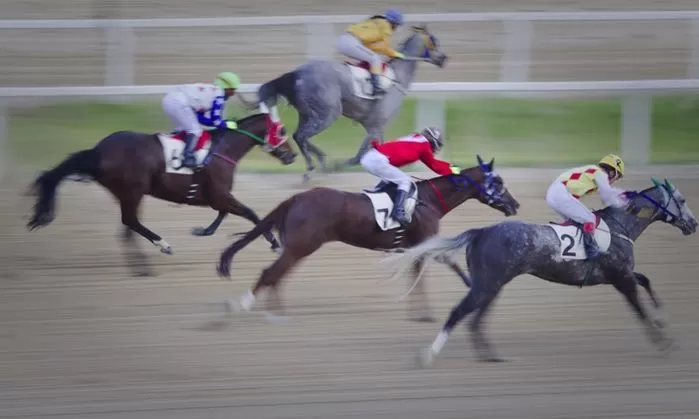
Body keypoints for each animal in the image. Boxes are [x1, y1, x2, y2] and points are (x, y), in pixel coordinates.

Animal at [26, 113, 296, 278]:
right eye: (282, 129)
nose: (292, 156)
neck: (224, 148)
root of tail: (98, 151)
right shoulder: (219, 195)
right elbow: (251, 213)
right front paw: (274, 242)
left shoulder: (217, 197)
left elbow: (226, 213)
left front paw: (203, 231)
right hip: (133, 191)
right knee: (130, 222)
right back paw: (162, 246)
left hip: (128, 193)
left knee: (127, 229)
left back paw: (142, 268)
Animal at [217, 157, 520, 322]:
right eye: (499, 183)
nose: (515, 205)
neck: (429, 200)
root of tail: (296, 198)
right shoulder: (425, 241)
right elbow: (435, 267)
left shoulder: (416, 246)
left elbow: (422, 271)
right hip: (301, 246)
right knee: (271, 274)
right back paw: (243, 307)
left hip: (298, 248)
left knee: (277, 276)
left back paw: (276, 312)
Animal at [258, 25, 448, 183]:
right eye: (434, 41)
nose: (444, 58)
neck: (397, 77)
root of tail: (296, 73)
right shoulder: (375, 127)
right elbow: (359, 156)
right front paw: (337, 166)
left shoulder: (375, 128)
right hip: (327, 115)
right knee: (301, 136)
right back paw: (314, 167)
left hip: (307, 114)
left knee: (299, 135)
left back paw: (319, 161)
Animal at [386, 179, 696, 366]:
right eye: (681, 200)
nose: (693, 224)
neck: (620, 226)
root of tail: (480, 231)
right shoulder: (621, 279)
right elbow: (639, 309)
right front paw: (664, 342)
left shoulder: (620, 275)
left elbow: (646, 280)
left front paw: (663, 319)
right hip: (487, 284)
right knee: (459, 313)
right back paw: (429, 355)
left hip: (491, 284)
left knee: (476, 318)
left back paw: (489, 355)